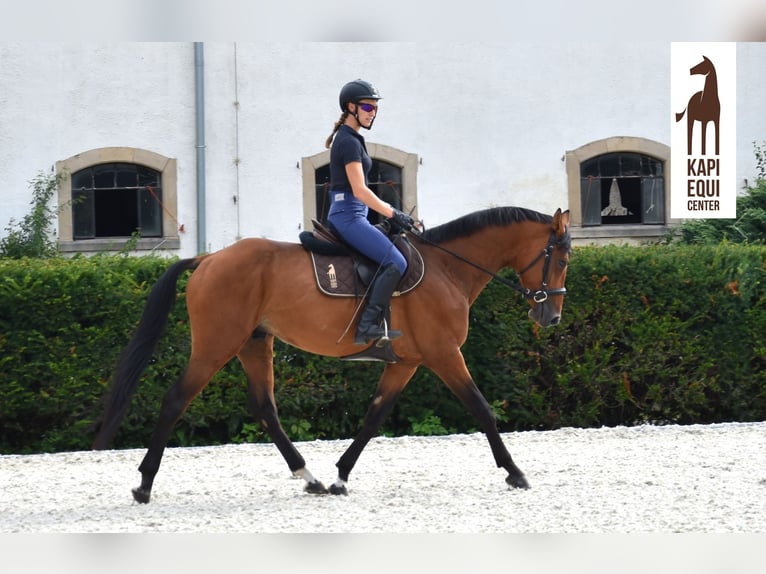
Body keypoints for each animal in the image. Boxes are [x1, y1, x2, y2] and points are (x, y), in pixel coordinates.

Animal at [91, 207, 568, 504]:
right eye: (561, 259)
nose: (550, 315)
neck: (448, 269)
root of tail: (209, 259)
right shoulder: (444, 355)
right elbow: (483, 410)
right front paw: (515, 472)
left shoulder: (406, 362)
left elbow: (374, 416)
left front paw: (341, 476)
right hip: (216, 345)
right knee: (176, 400)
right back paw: (144, 485)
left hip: (254, 343)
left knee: (265, 408)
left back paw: (311, 477)